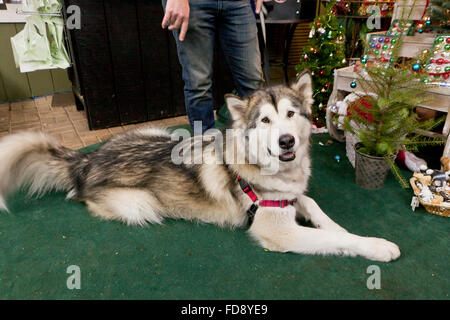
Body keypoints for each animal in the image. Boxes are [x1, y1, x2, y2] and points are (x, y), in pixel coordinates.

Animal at [0, 71, 400, 262]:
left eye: (290, 115)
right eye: (265, 121)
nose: (287, 142)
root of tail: (87, 157)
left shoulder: (288, 197)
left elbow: (316, 208)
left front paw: (344, 228)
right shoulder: (279, 232)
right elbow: (333, 239)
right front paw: (377, 246)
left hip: (161, 132)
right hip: (141, 204)